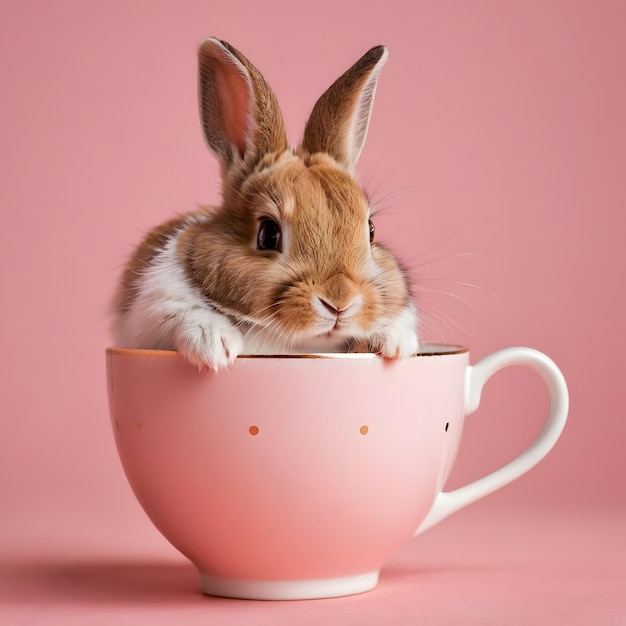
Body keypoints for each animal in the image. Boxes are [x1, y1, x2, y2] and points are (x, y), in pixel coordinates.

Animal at [111, 36, 420, 368]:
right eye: (268, 234)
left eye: (371, 230)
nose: (339, 302)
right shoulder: (154, 305)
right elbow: (183, 312)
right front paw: (215, 345)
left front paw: (392, 343)